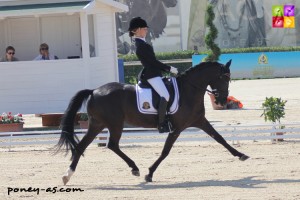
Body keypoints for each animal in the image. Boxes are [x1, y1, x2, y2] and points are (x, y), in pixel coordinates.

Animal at [55, 60, 248, 185]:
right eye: (224, 77)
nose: (222, 101)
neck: (190, 90)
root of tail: (94, 90)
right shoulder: (177, 129)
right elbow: (165, 151)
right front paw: (149, 174)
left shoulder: (200, 121)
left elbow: (220, 138)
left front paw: (241, 155)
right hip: (114, 124)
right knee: (112, 145)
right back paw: (135, 168)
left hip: (98, 124)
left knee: (83, 147)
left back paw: (67, 175)